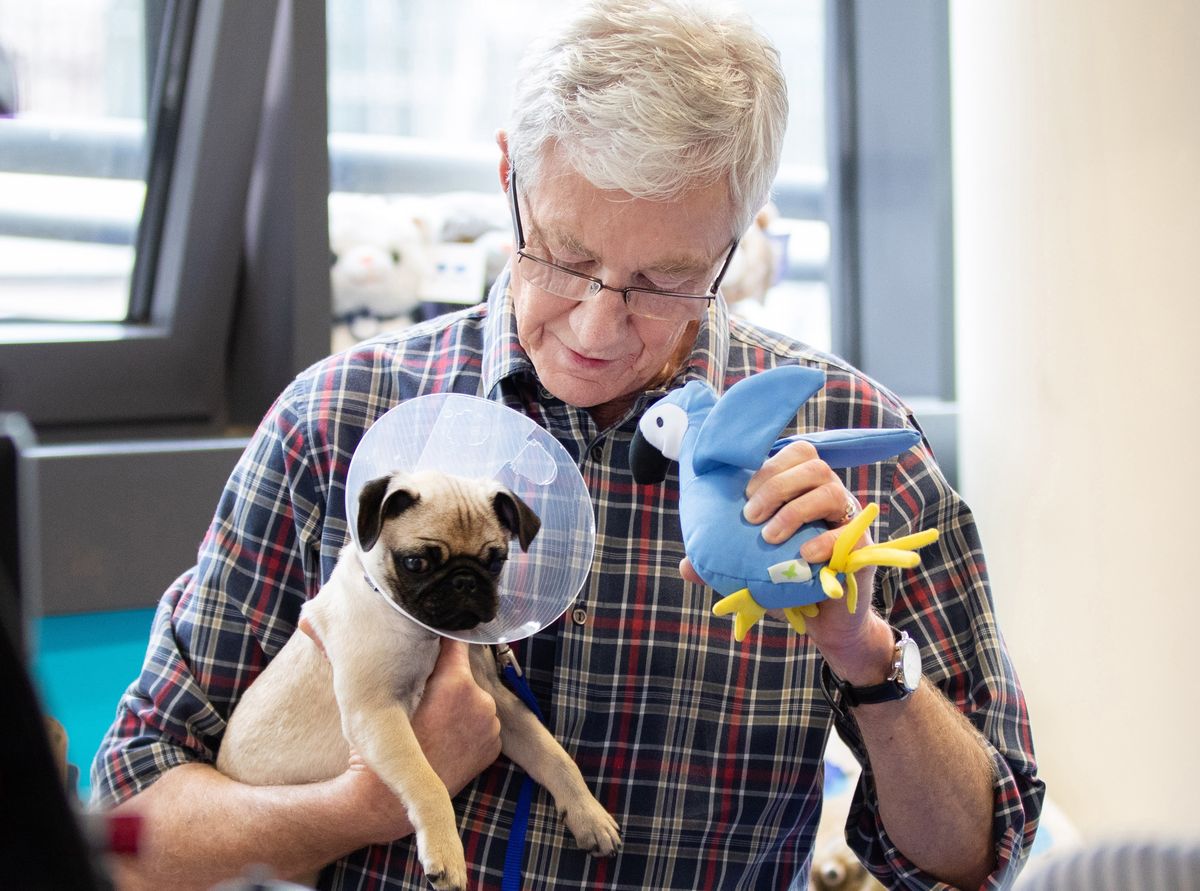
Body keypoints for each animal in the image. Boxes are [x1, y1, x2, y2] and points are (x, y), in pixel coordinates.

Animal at [217, 470, 624, 888]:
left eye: (496, 563)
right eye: (416, 563)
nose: (465, 581)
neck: (425, 632)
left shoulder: (500, 702)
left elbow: (552, 754)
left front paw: (589, 813)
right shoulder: (377, 714)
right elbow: (427, 782)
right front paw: (446, 852)